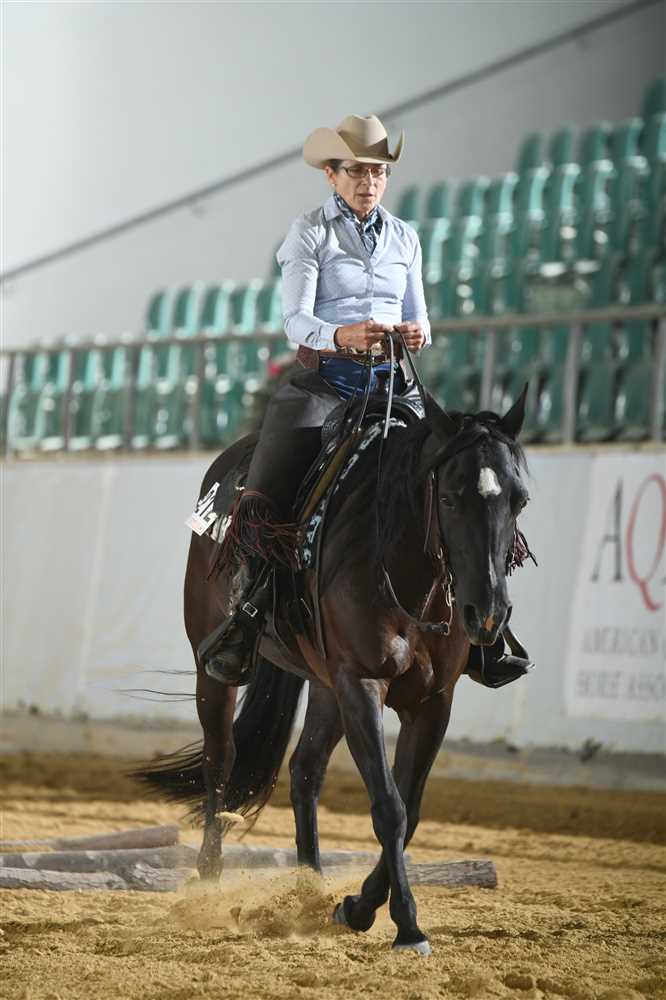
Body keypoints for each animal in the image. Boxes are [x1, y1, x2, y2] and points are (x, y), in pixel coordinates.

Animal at [135, 386, 532, 955]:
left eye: (519, 500)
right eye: (451, 497)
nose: (489, 614)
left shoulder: (432, 702)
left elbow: (410, 809)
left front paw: (358, 907)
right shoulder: (361, 682)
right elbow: (389, 806)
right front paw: (407, 927)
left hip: (326, 687)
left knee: (304, 770)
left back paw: (308, 888)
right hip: (214, 669)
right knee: (221, 760)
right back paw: (209, 884)